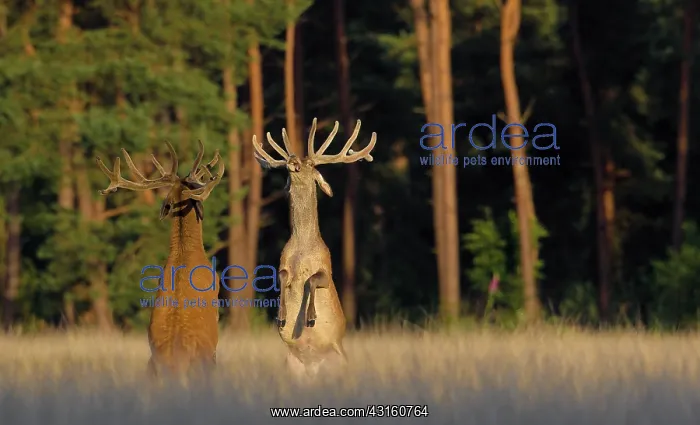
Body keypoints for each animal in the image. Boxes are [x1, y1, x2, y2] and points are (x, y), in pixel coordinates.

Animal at [252, 117, 377, 378]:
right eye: (290, 162)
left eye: (309, 163)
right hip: (291, 366)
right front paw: (282, 316)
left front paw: (310, 317)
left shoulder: (327, 270)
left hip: (341, 363)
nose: (292, 159)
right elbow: (282, 276)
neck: (303, 250)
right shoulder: (283, 262)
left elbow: (312, 279)